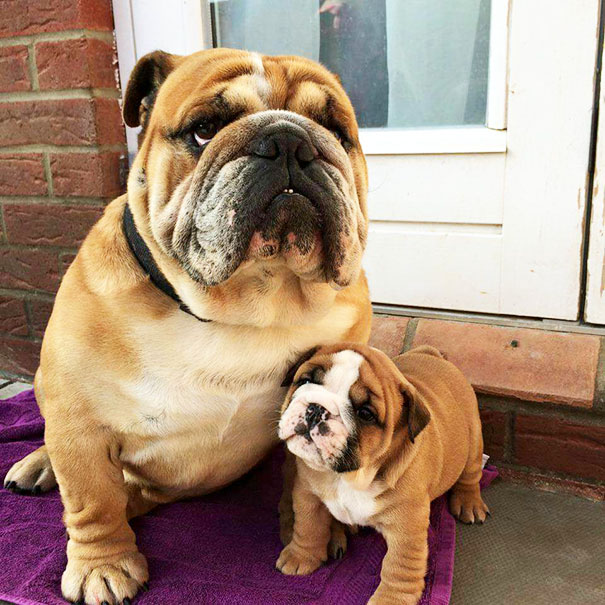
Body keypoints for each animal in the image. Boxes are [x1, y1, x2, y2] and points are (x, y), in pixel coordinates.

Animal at [4, 48, 370, 604]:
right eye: (204, 129)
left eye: (334, 128)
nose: (291, 140)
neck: (244, 303)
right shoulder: (77, 419)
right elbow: (93, 501)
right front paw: (101, 566)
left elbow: (303, 476)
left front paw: (318, 528)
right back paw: (38, 465)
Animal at [276, 342, 488, 600]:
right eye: (305, 381)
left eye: (365, 413)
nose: (317, 409)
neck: (350, 476)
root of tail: (433, 355)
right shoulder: (308, 495)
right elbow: (308, 528)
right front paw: (300, 557)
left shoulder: (407, 525)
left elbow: (400, 566)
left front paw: (391, 598)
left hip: (473, 441)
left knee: (470, 475)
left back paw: (469, 503)